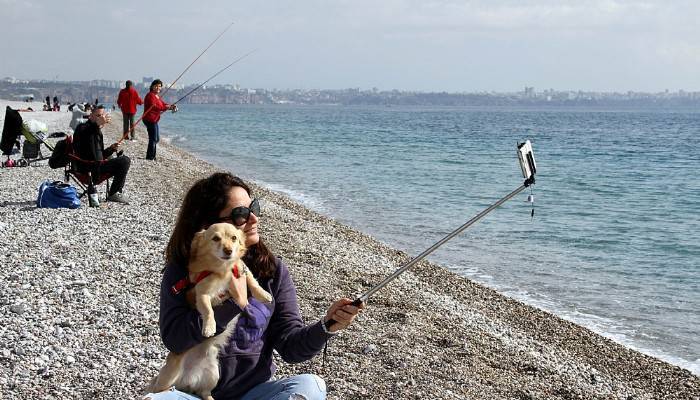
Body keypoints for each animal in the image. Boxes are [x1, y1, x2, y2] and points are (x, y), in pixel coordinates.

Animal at [148, 223, 274, 400]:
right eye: (216, 238)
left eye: (234, 238)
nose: (228, 250)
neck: (223, 269)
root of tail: (188, 379)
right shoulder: (202, 294)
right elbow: (209, 311)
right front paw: (209, 327)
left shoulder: (243, 269)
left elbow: (253, 282)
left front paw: (264, 295)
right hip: (168, 376)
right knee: (157, 388)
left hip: (213, 373)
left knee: (204, 392)